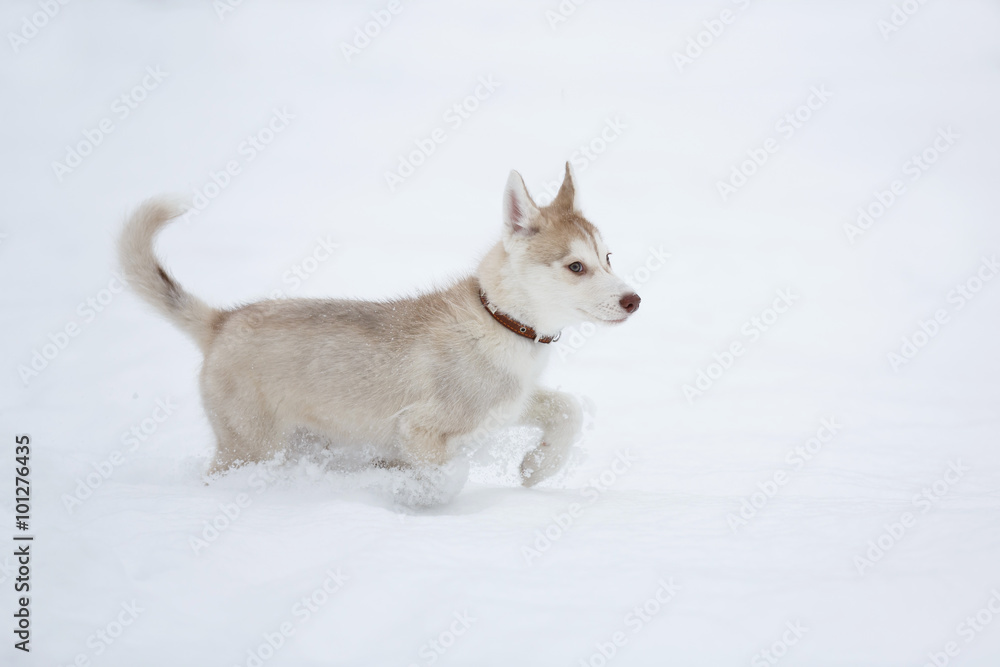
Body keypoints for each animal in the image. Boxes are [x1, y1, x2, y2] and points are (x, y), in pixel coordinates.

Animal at [121, 166, 640, 500]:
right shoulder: (419, 428)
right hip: (251, 447)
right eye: (576, 266)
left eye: (608, 257)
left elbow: (568, 409)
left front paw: (537, 467)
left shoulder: (507, 405)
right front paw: (396, 488)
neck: (499, 321)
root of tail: (222, 321)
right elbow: (444, 479)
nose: (633, 300)